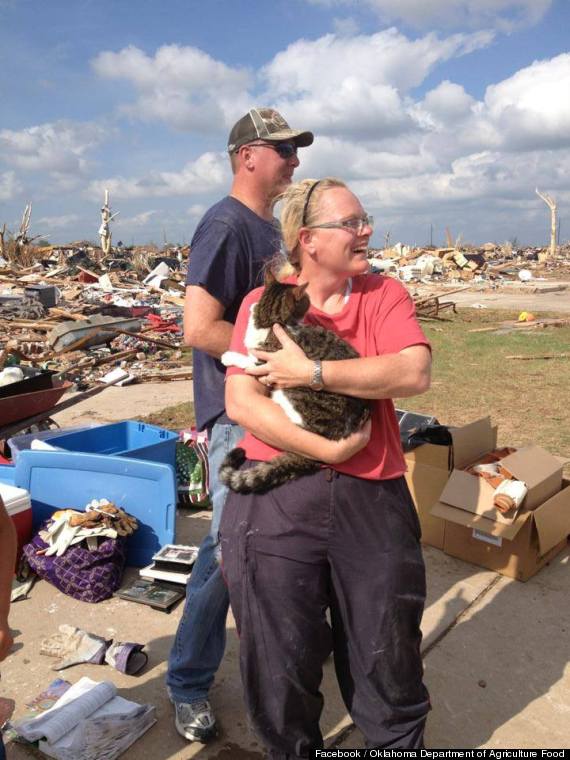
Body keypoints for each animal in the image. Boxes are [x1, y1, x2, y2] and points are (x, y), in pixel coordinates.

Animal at [217, 270, 368, 496]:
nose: (310, 303)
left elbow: (248, 359)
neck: (269, 320)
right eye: (306, 300)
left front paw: (229, 356)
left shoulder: (267, 363)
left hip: (295, 391)